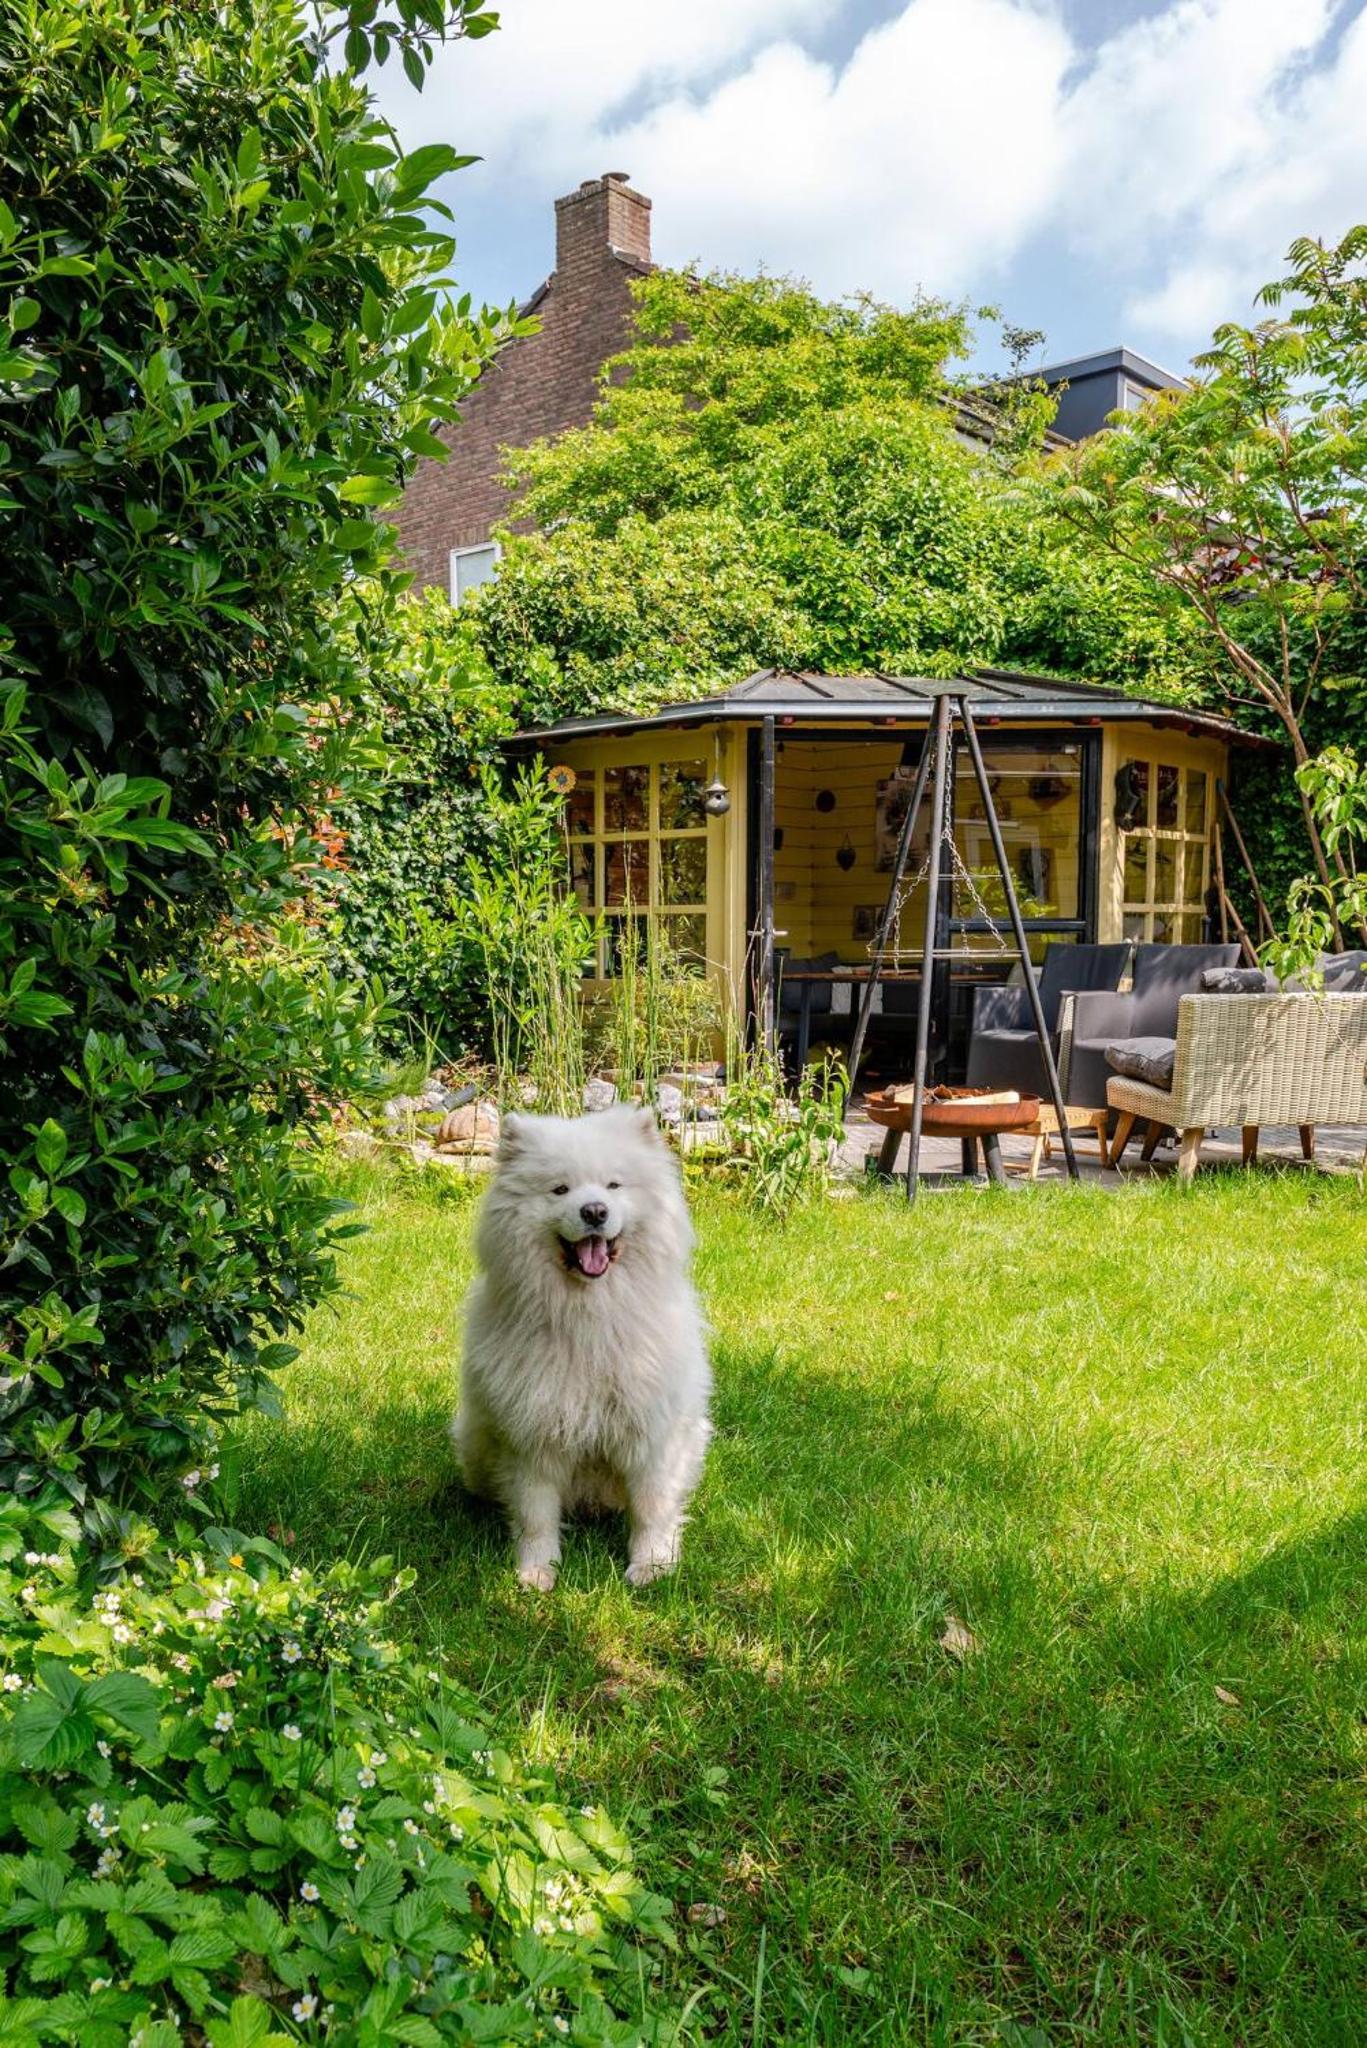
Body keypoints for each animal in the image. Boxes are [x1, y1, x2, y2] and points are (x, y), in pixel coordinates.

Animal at [459, 1114, 717, 1589]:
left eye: (614, 1185)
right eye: (560, 1189)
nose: (594, 1211)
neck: (591, 1316)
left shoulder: (651, 1434)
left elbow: (652, 1508)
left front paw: (652, 1566)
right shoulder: (532, 1438)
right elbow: (535, 1515)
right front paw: (537, 1572)